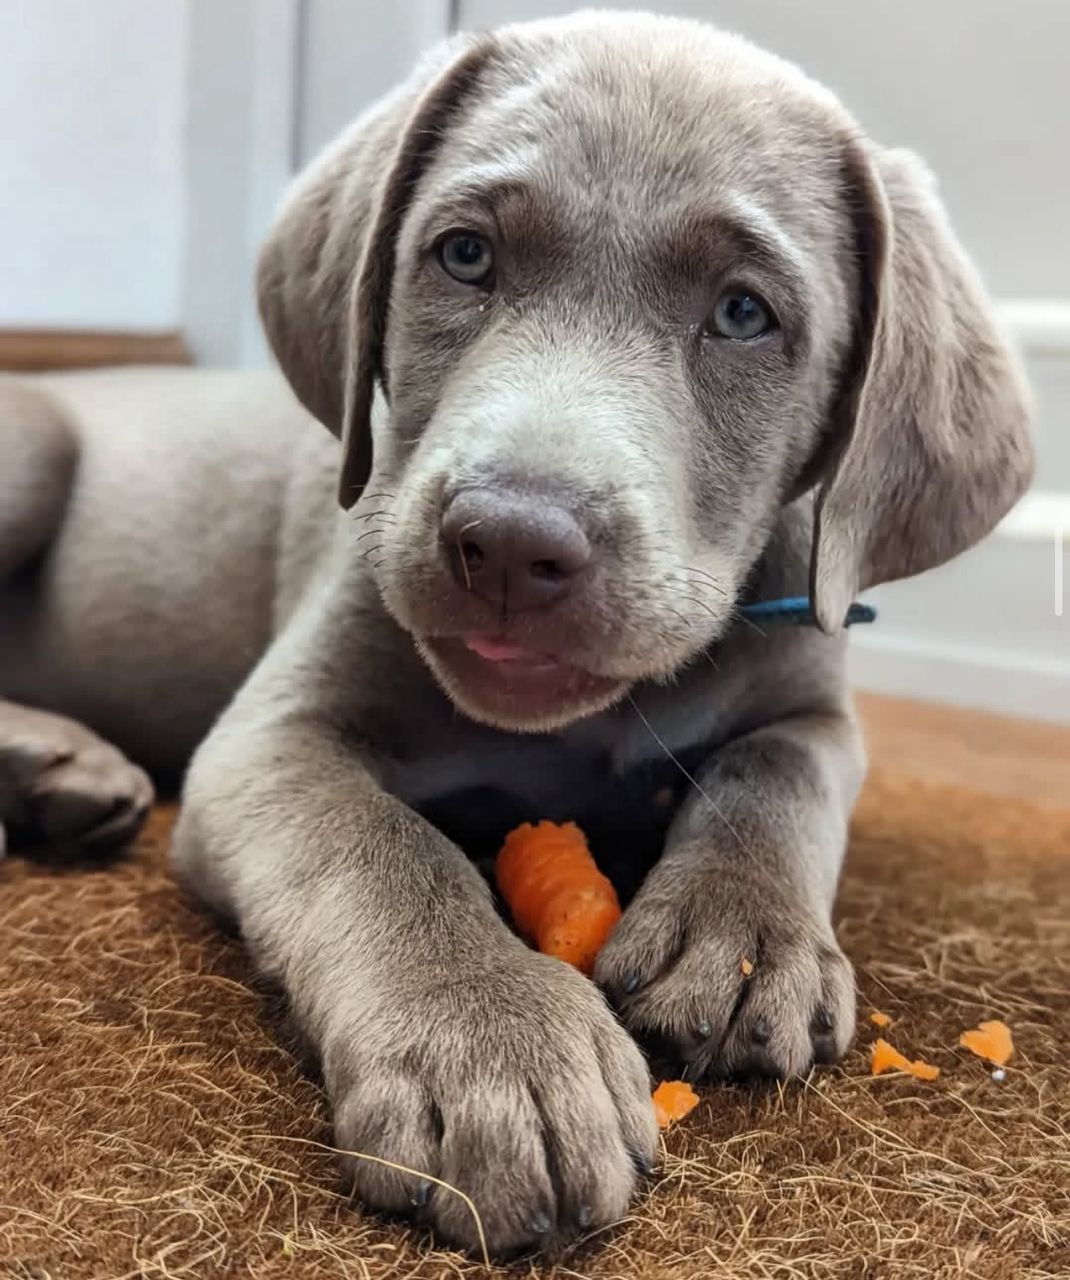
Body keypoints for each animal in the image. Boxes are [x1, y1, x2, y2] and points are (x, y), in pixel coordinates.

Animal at [0, 10, 1032, 1256]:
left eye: (743, 312)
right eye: (463, 255)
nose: (507, 541)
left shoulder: (815, 696)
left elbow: (778, 774)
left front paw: (740, 934)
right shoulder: (270, 741)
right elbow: (382, 847)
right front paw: (493, 1049)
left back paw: (59, 767)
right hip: (32, 448)